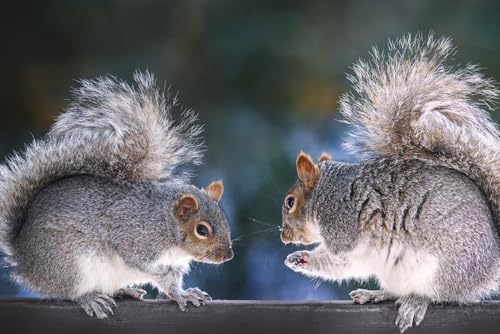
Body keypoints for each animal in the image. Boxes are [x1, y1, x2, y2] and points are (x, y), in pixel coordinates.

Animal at [0, 71, 232, 318]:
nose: (228, 256)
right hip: (69, 266)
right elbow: (151, 270)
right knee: (70, 291)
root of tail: (23, 257)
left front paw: (185, 293)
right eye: (202, 230)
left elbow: (173, 281)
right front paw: (175, 289)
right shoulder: (136, 240)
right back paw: (90, 299)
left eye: (225, 221)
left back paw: (123, 291)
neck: (166, 228)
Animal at [282, 35, 500, 332]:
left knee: (441, 294)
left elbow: (336, 257)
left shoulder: (342, 226)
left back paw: (415, 302)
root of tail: (491, 261)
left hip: (443, 268)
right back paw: (376, 294)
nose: (283, 236)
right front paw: (299, 259)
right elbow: (338, 265)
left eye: (290, 202)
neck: (326, 192)